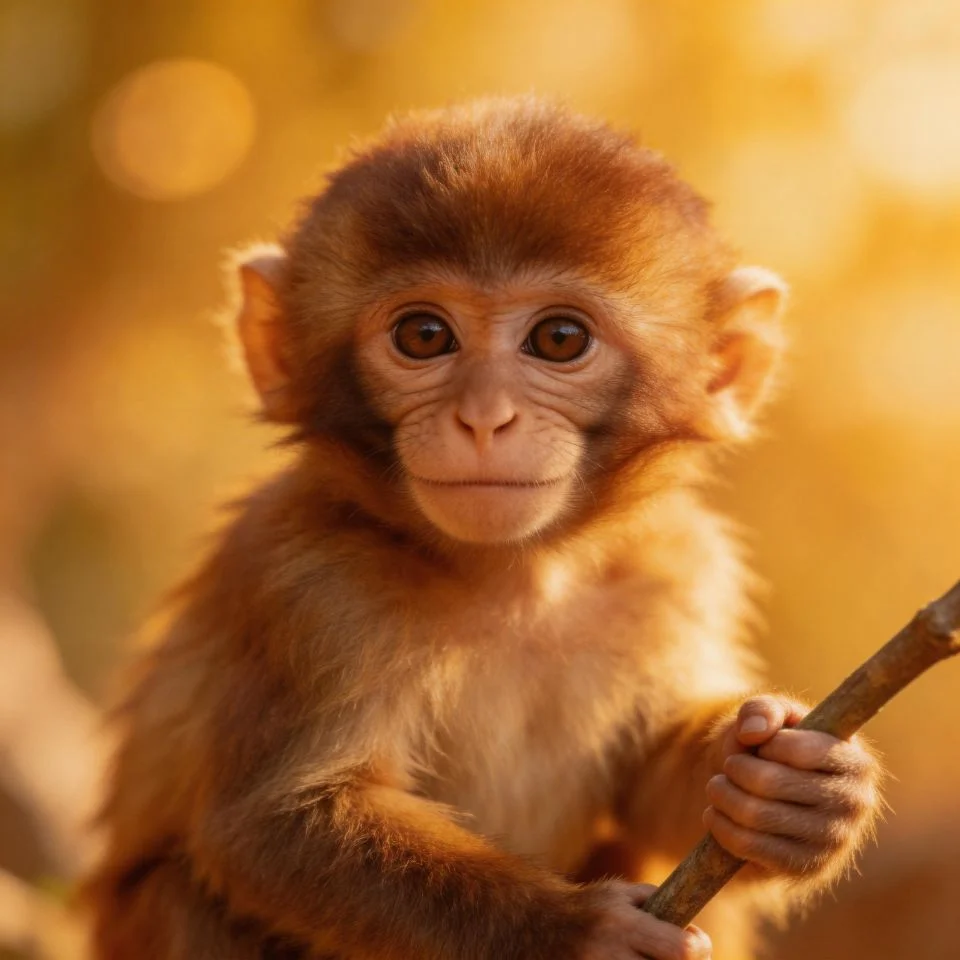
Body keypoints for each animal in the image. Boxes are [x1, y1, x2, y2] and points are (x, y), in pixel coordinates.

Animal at [85, 97, 881, 960]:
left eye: (559, 339)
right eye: (424, 335)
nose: (484, 418)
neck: (518, 579)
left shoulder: (679, 570)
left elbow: (651, 790)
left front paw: (788, 790)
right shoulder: (306, 579)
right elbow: (272, 823)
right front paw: (575, 934)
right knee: (193, 898)